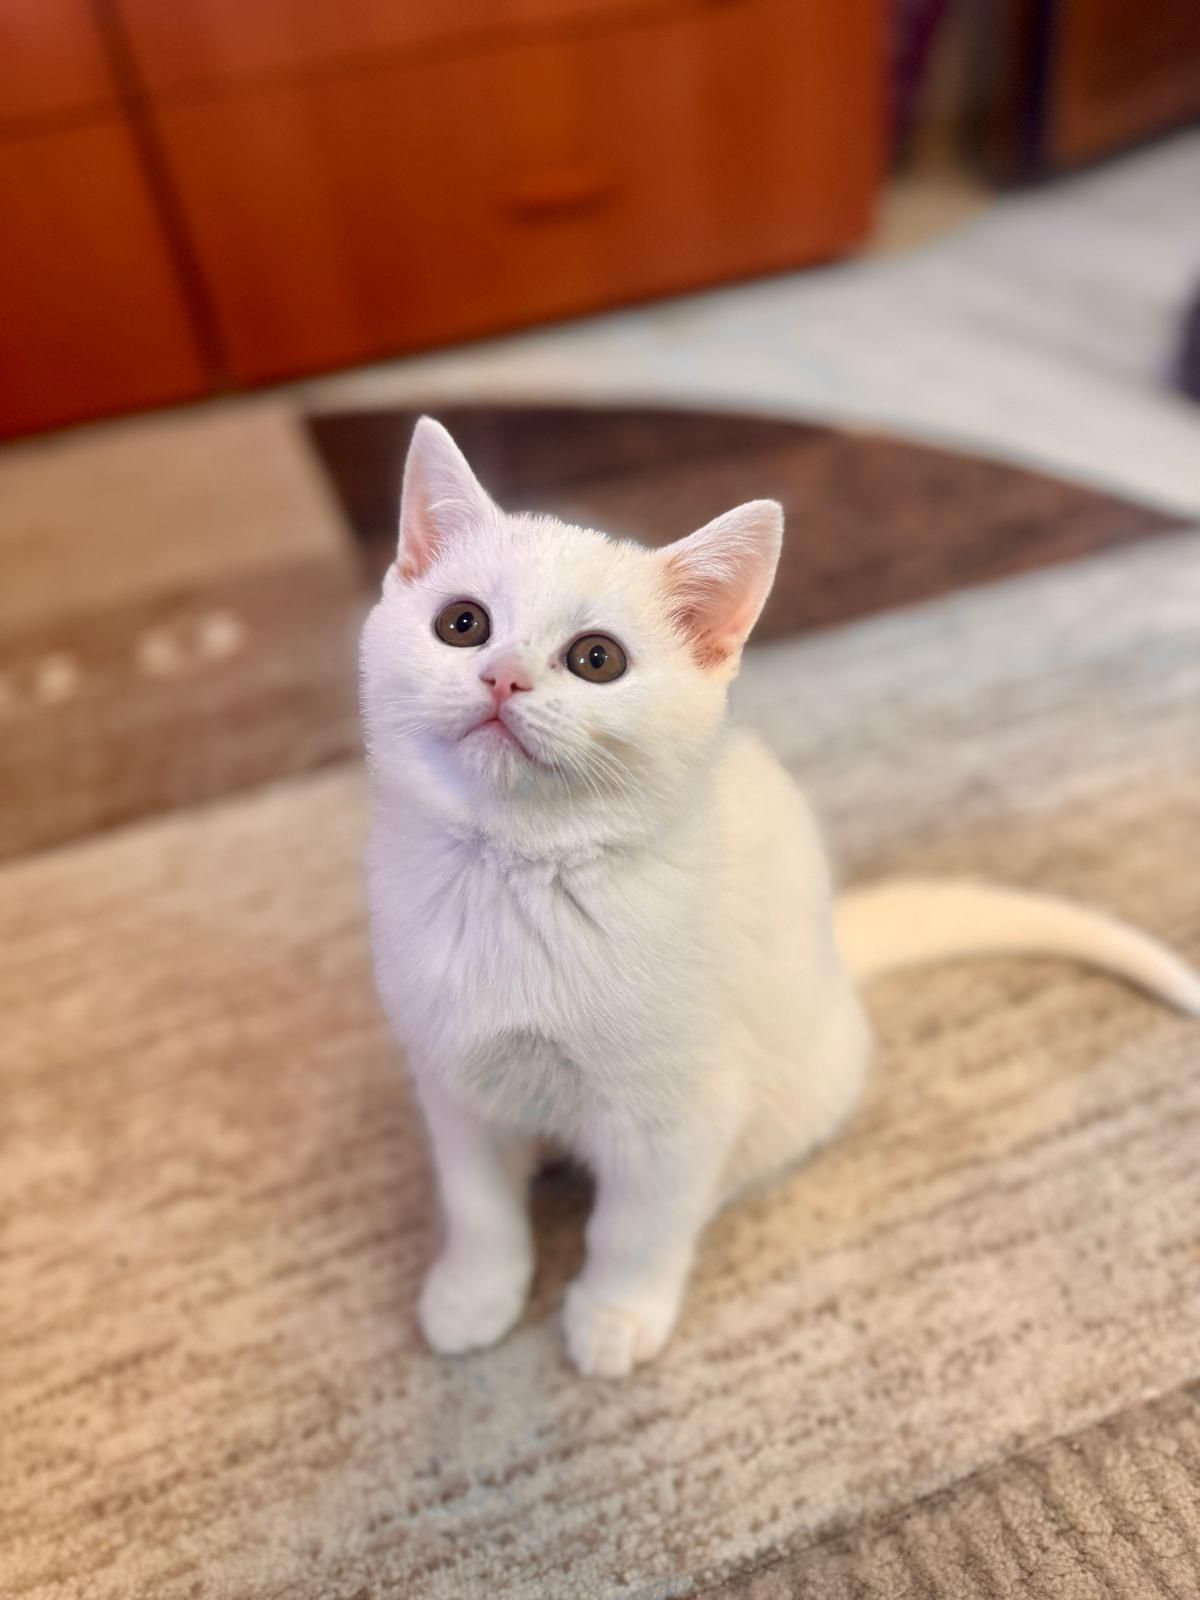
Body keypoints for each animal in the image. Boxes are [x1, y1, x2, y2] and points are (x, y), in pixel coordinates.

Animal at [364, 419, 1200, 1382]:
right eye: (462, 624)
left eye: (596, 659)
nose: (502, 677)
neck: (520, 875)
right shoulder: (453, 1076)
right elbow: (478, 1204)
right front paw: (475, 1292)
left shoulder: (682, 1109)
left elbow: (637, 1224)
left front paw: (616, 1313)